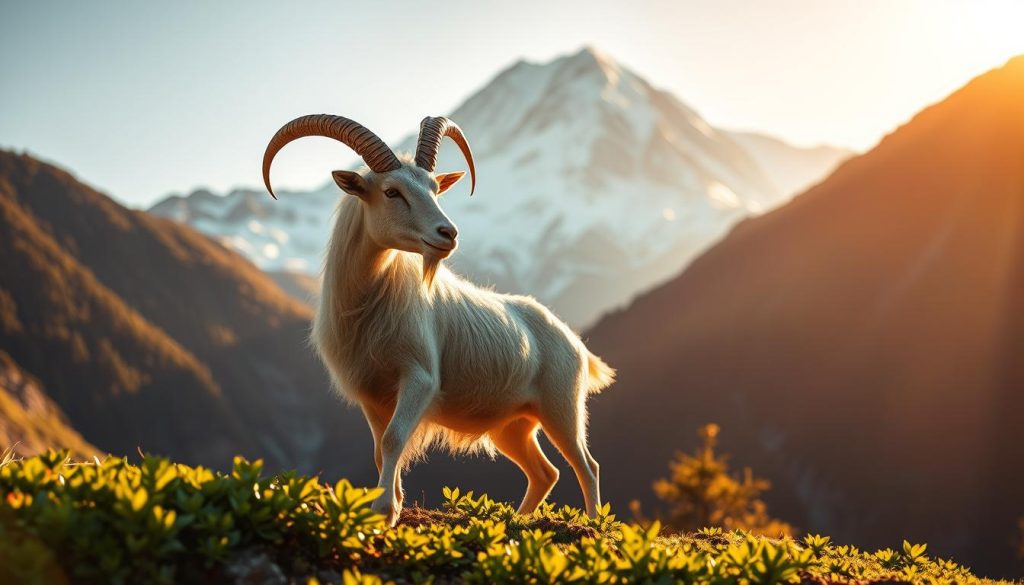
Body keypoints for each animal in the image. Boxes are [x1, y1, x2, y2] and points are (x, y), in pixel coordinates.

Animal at [263, 114, 615, 525]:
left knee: (587, 465)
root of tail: (575, 344)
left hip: (562, 409)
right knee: (545, 472)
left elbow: (394, 439)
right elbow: (380, 448)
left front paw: (385, 510)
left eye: (435, 189)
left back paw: (594, 523)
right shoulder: (372, 394)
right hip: (513, 425)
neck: (371, 302)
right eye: (392, 191)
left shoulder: (419, 378)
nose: (448, 233)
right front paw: (391, 507)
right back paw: (516, 519)